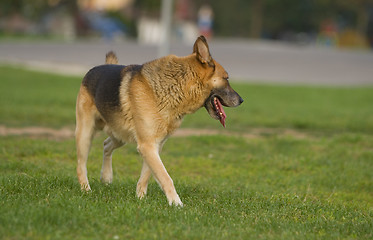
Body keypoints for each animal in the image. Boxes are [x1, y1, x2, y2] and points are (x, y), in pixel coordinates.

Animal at [76, 35, 244, 206]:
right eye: (226, 78)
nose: (241, 100)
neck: (177, 86)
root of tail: (96, 68)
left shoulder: (154, 146)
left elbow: (146, 176)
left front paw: (141, 198)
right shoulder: (147, 145)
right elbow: (165, 177)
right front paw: (176, 204)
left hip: (120, 135)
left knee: (106, 145)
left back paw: (106, 177)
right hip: (86, 135)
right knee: (81, 164)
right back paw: (85, 189)